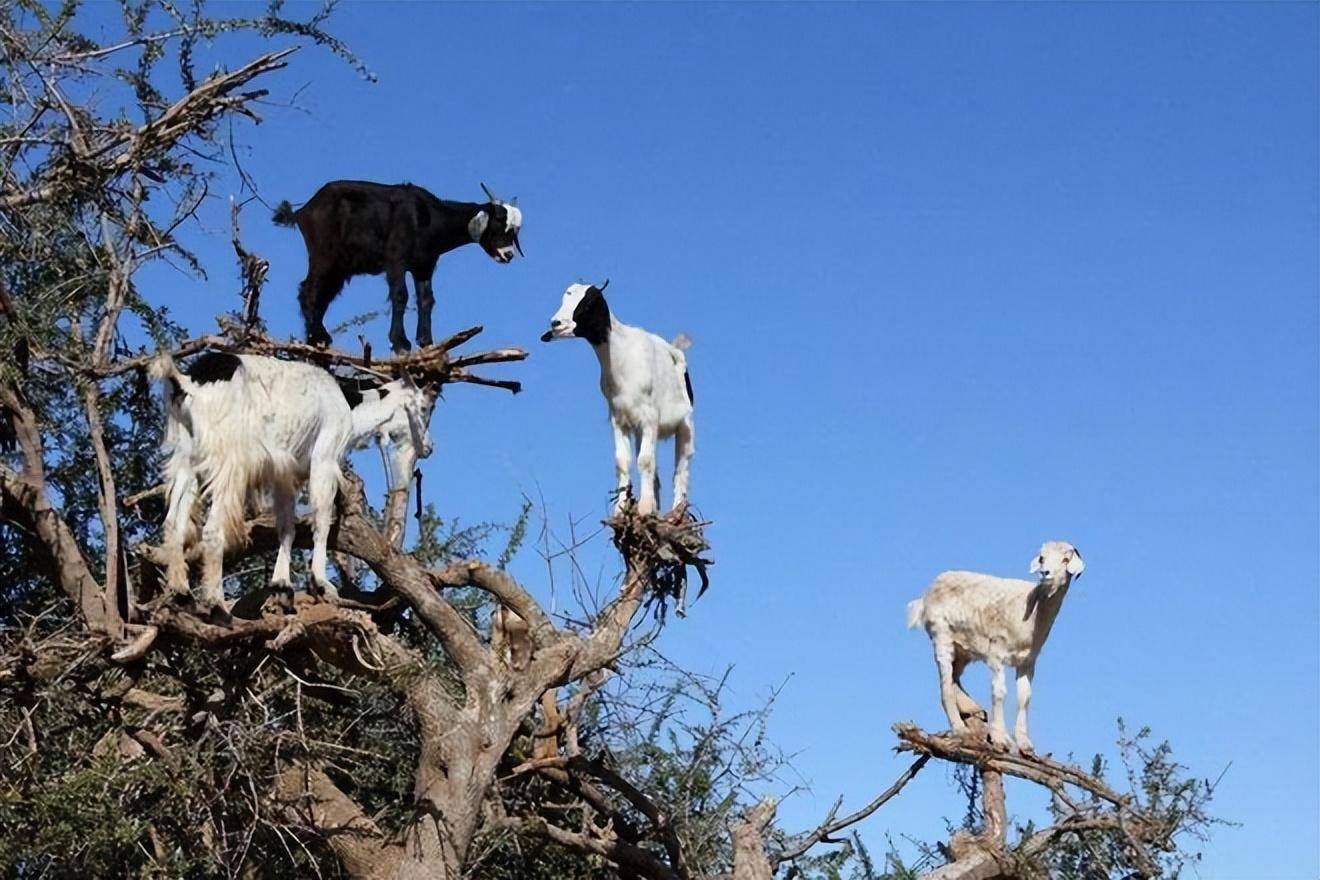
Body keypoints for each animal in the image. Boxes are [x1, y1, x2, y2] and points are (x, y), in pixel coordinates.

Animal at [153, 350, 432, 612]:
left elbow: (288, 528)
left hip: (187, 460)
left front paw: (281, 583)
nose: (428, 447)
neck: (348, 406)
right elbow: (321, 520)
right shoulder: (324, 461)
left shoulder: (285, 475)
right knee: (212, 528)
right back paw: (217, 604)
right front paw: (321, 582)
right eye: (424, 408)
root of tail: (188, 382)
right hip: (228, 461)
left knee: (174, 522)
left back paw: (181, 591)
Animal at [271, 180, 520, 353]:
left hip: (339, 267)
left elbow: (426, 300)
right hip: (323, 255)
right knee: (309, 291)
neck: (428, 217)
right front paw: (400, 342)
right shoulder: (396, 260)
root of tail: (303, 210)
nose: (508, 255)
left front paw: (426, 341)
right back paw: (316, 337)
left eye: (515, 231)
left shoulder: (423, 266)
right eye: (498, 222)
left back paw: (317, 338)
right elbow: (400, 295)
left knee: (322, 295)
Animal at [541, 281, 696, 517]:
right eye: (564, 299)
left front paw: (643, 508)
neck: (620, 355)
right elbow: (624, 462)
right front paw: (622, 509)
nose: (555, 323)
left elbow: (645, 461)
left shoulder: (650, 417)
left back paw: (677, 513)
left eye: (588, 302)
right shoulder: (618, 418)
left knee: (681, 469)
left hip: (685, 425)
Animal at [908, 540, 1082, 754]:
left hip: (963, 648)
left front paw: (1025, 745)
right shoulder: (996, 653)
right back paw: (960, 728)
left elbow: (1024, 697)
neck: (1032, 606)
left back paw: (971, 708)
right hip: (941, 636)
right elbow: (999, 693)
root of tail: (926, 594)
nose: (1045, 573)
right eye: (1042, 558)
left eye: (1066, 560)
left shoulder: (1028, 660)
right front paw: (1000, 738)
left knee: (955, 677)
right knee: (945, 685)